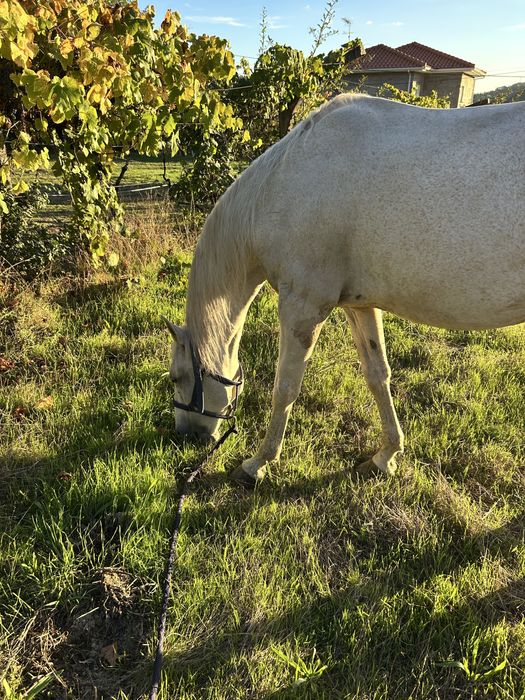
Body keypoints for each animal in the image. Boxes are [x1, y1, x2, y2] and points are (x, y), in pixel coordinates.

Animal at [164, 93, 525, 487]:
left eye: (177, 377)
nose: (185, 435)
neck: (280, 185)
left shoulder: (303, 305)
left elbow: (285, 387)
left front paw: (257, 463)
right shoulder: (360, 305)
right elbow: (378, 375)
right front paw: (386, 455)